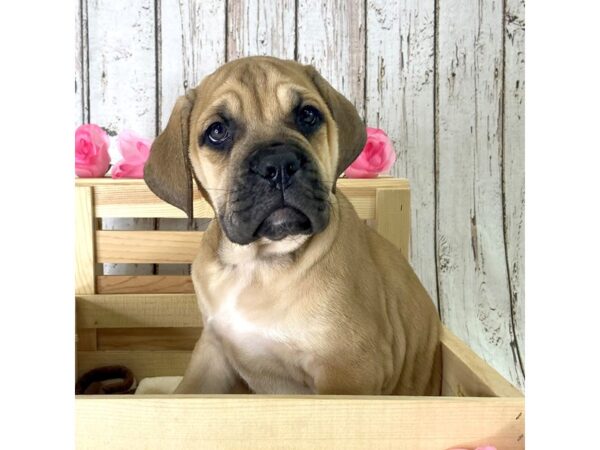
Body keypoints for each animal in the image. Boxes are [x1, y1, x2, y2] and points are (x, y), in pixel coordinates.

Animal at [144, 55, 440, 394]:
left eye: (308, 115)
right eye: (217, 131)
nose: (278, 164)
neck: (258, 263)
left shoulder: (349, 370)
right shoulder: (213, 351)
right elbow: (187, 392)